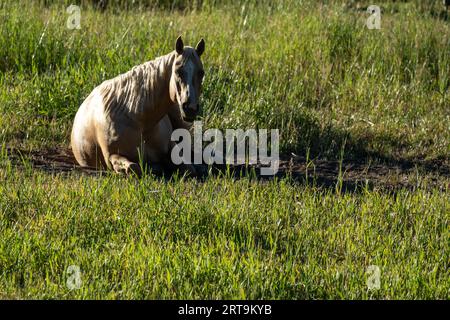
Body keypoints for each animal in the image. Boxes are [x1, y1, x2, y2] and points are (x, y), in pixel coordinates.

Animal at [71, 36, 206, 176]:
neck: (139, 120)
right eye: (178, 71)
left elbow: (188, 168)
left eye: (201, 73)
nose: (190, 108)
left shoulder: (172, 146)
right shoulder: (112, 157)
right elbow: (134, 167)